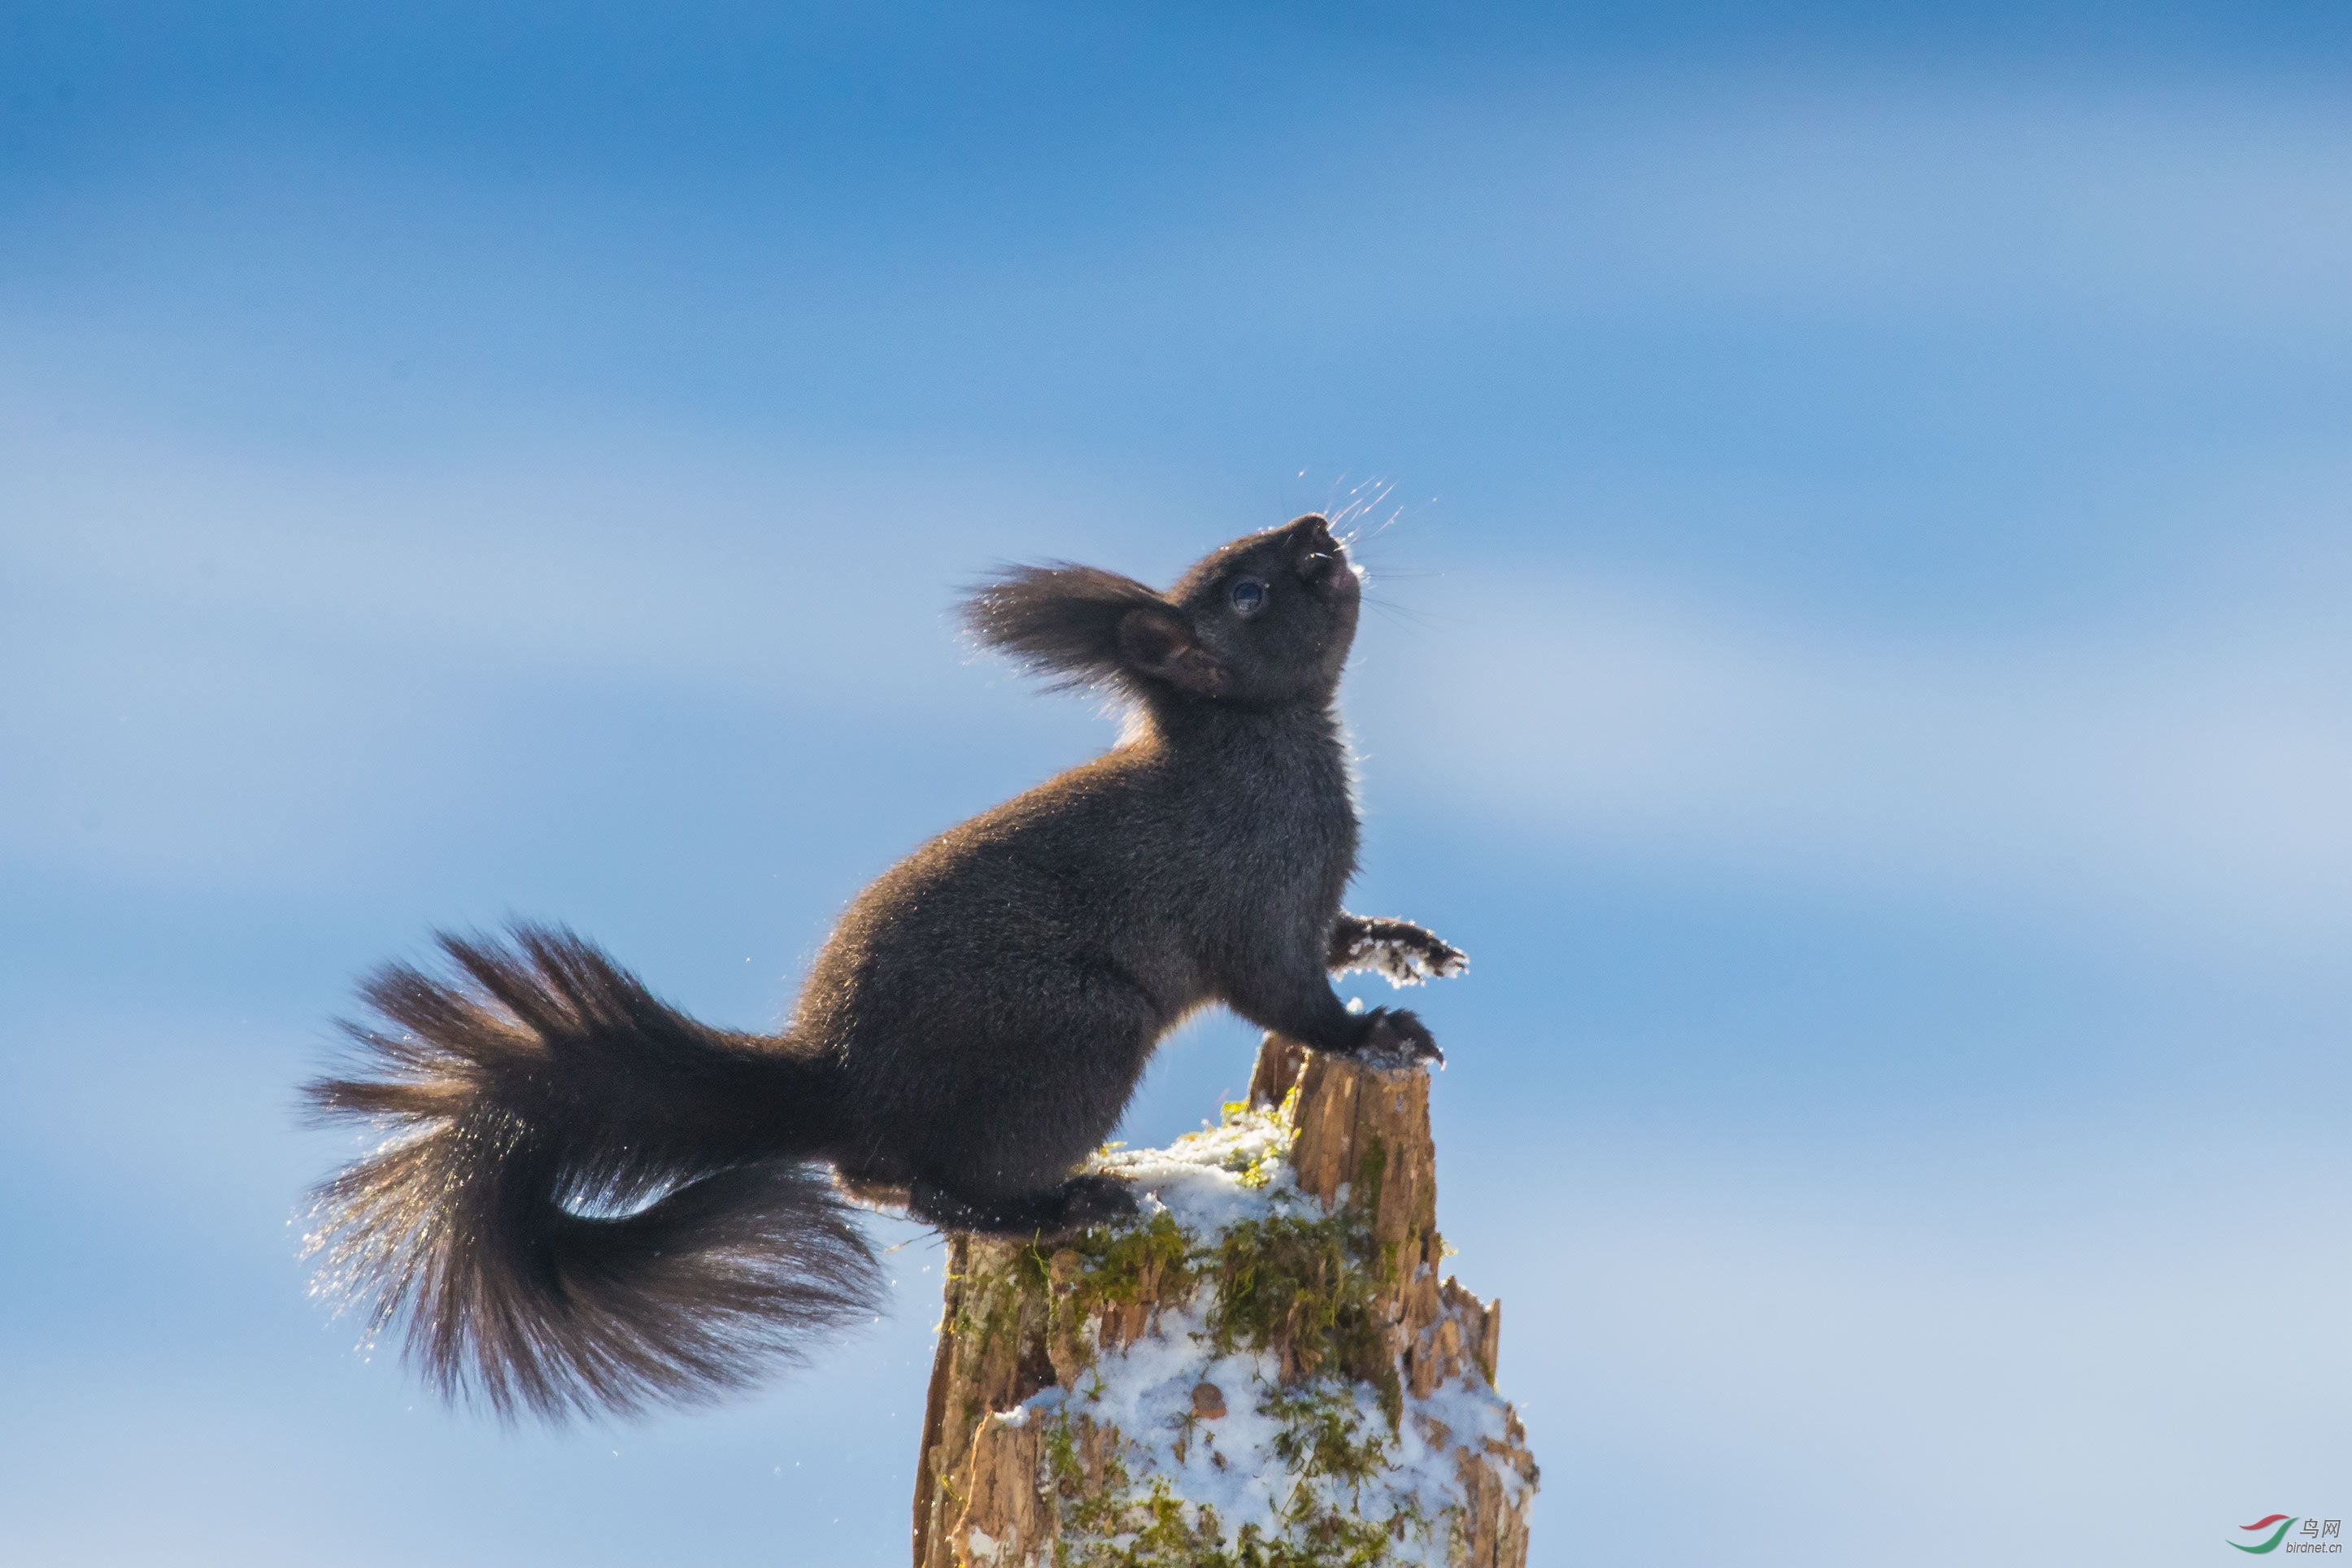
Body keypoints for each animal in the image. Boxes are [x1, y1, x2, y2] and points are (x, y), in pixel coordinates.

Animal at [303, 515, 1458, 1419]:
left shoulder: (1304, 902)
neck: (1258, 738)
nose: (1319, 529)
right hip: (1076, 1036)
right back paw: (1065, 1204)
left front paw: (1410, 947)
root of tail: (842, 1083)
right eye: (1250, 592)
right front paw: (1378, 1037)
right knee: (921, 1181)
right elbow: (1290, 999)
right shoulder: (1250, 900)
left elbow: (1339, 937)